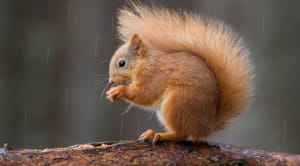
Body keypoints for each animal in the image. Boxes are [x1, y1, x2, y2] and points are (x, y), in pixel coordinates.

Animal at [105, 1, 253, 143]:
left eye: (122, 63)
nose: (111, 81)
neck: (146, 63)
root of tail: (206, 125)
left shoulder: (155, 75)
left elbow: (146, 93)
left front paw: (120, 90)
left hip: (178, 103)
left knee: (181, 134)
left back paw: (157, 135)